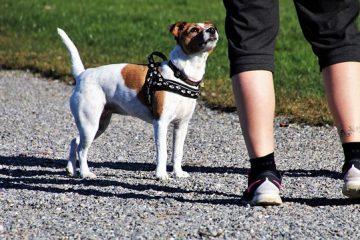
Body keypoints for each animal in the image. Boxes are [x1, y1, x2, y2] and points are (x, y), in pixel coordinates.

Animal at [57, 21, 218, 180]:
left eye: (211, 26)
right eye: (194, 29)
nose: (212, 30)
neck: (179, 74)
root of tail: (82, 75)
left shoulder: (181, 125)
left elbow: (178, 152)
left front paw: (178, 173)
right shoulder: (161, 123)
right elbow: (162, 152)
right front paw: (161, 174)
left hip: (98, 125)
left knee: (75, 142)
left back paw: (71, 169)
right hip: (90, 125)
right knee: (82, 150)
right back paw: (85, 173)